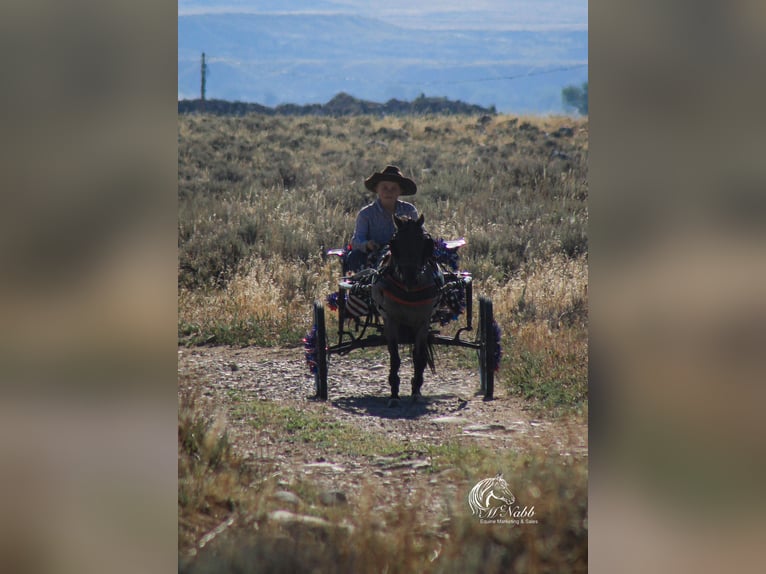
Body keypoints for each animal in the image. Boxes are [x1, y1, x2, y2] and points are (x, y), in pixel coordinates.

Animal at [370, 214, 440, 408]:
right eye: (394, 243)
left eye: (425, 242)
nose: (410, 278)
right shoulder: (390, 321)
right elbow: (395, 358)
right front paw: (394, 394)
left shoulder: (423, 323)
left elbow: (419, 357)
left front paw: (416, 390)